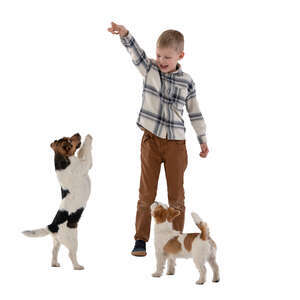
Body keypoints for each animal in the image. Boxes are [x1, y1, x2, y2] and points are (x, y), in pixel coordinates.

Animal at [22, 133, 91, 270]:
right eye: (69, 141)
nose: (78, 133)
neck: (63, 160)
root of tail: (52, 226)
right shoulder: (85, 165)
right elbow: (87, 151)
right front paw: (88, 138)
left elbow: (82, 153)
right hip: (73, 241)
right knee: (71, 254)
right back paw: (77, 266)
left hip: (57, 241)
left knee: (54, 251)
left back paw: (54, 264)